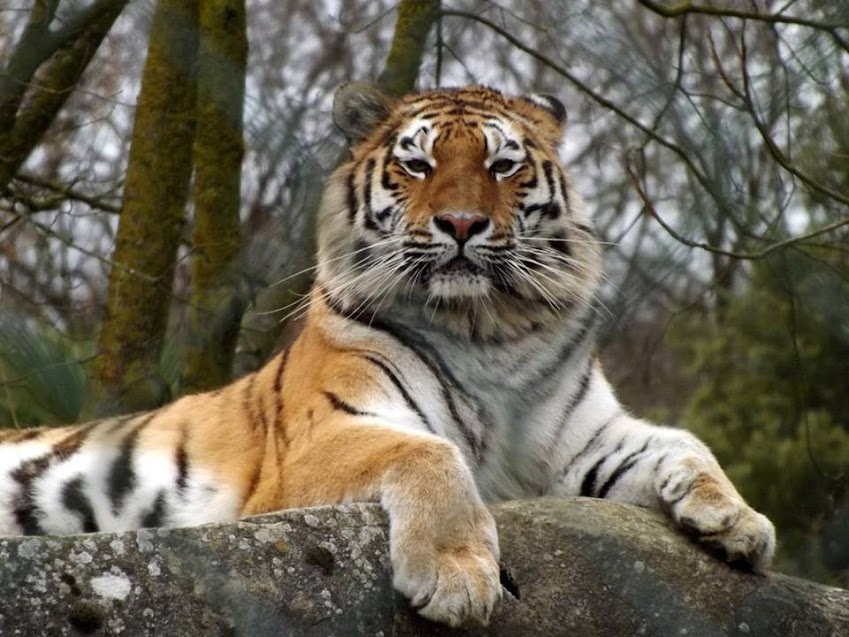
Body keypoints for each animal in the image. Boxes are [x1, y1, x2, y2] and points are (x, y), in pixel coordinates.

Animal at [0, 83, 776, 628]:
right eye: (417, 163)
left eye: (502, 165)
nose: (461, 223)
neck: (488, 329)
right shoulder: (315, 445)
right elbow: (431, 452)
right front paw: (457, 577)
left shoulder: (583, 442)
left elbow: (684, 441)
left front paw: (736, 520)